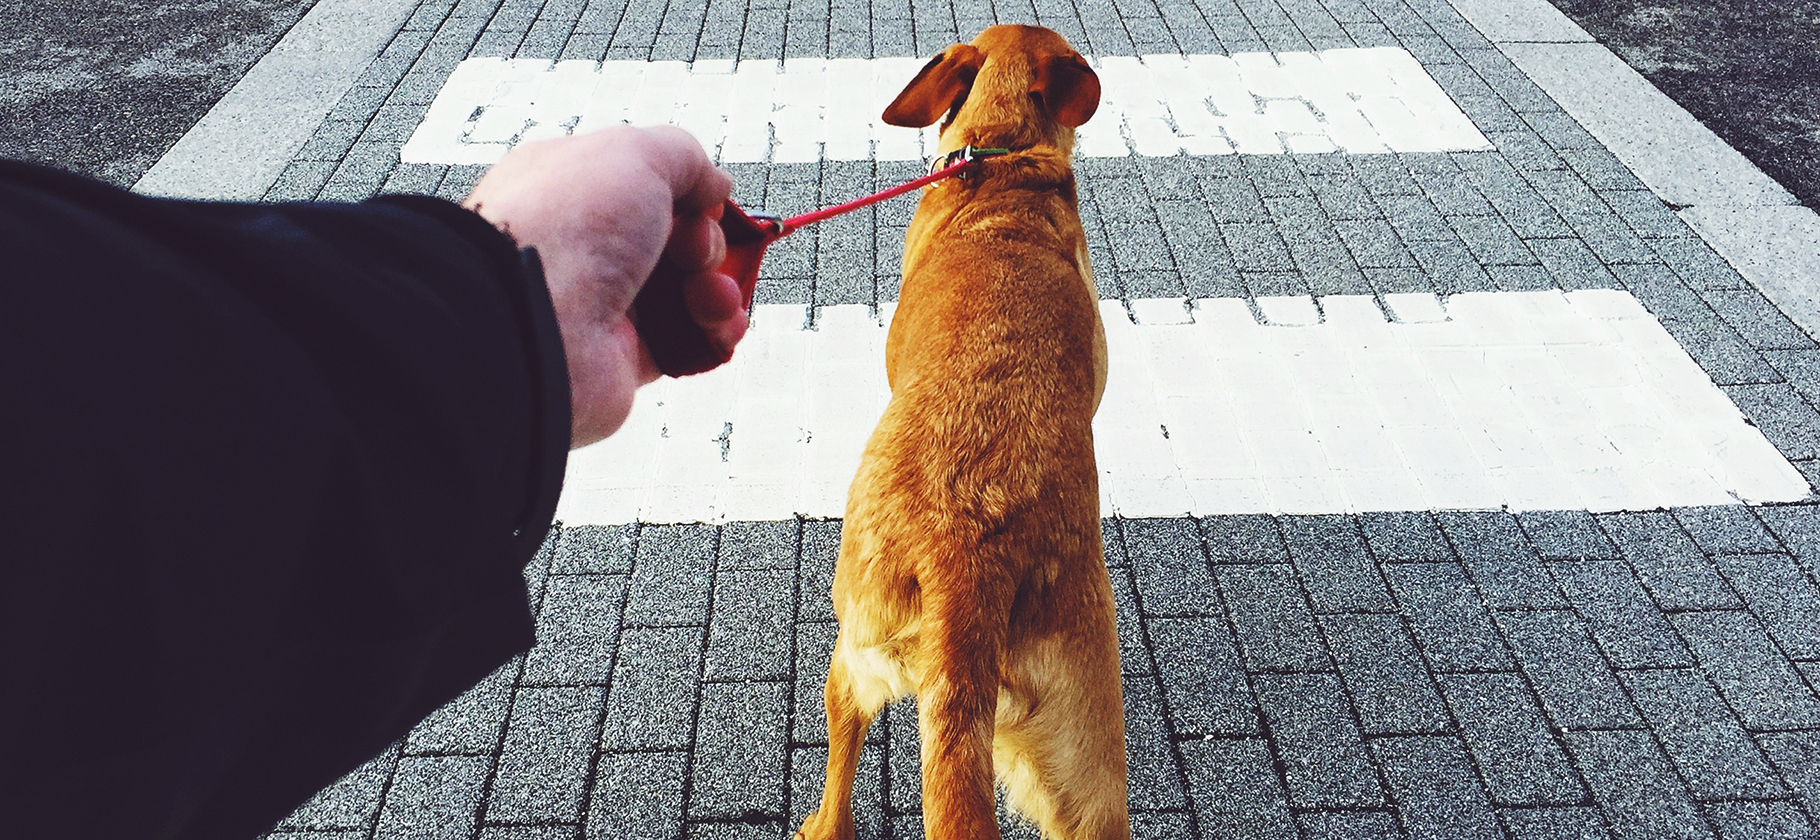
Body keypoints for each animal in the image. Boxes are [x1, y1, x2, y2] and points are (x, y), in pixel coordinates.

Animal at [793, 26, 1121, 840]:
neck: (1001, 157)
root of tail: (967, 561)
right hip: (1087, 756)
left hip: (855, 650)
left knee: (839, 759)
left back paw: (820, 820)